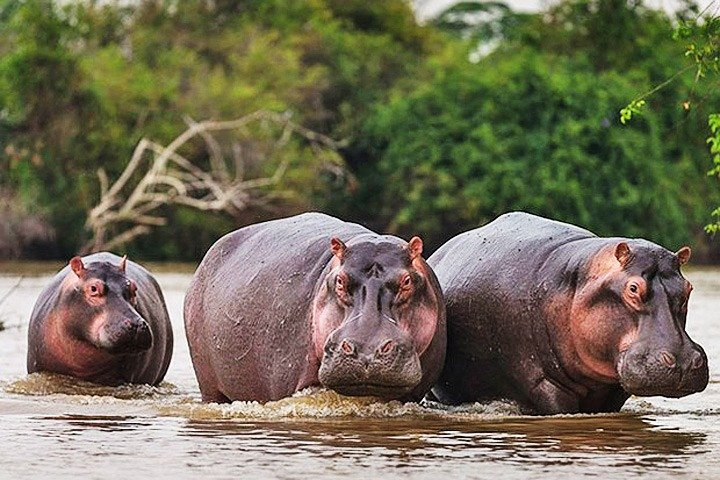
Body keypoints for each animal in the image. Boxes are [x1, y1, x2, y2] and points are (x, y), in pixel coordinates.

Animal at [428, 212, 708, 414]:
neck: (580, 278)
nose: (683, 361)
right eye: (633, 288)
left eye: (688, 288)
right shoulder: (543, 382)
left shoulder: (614, 389)